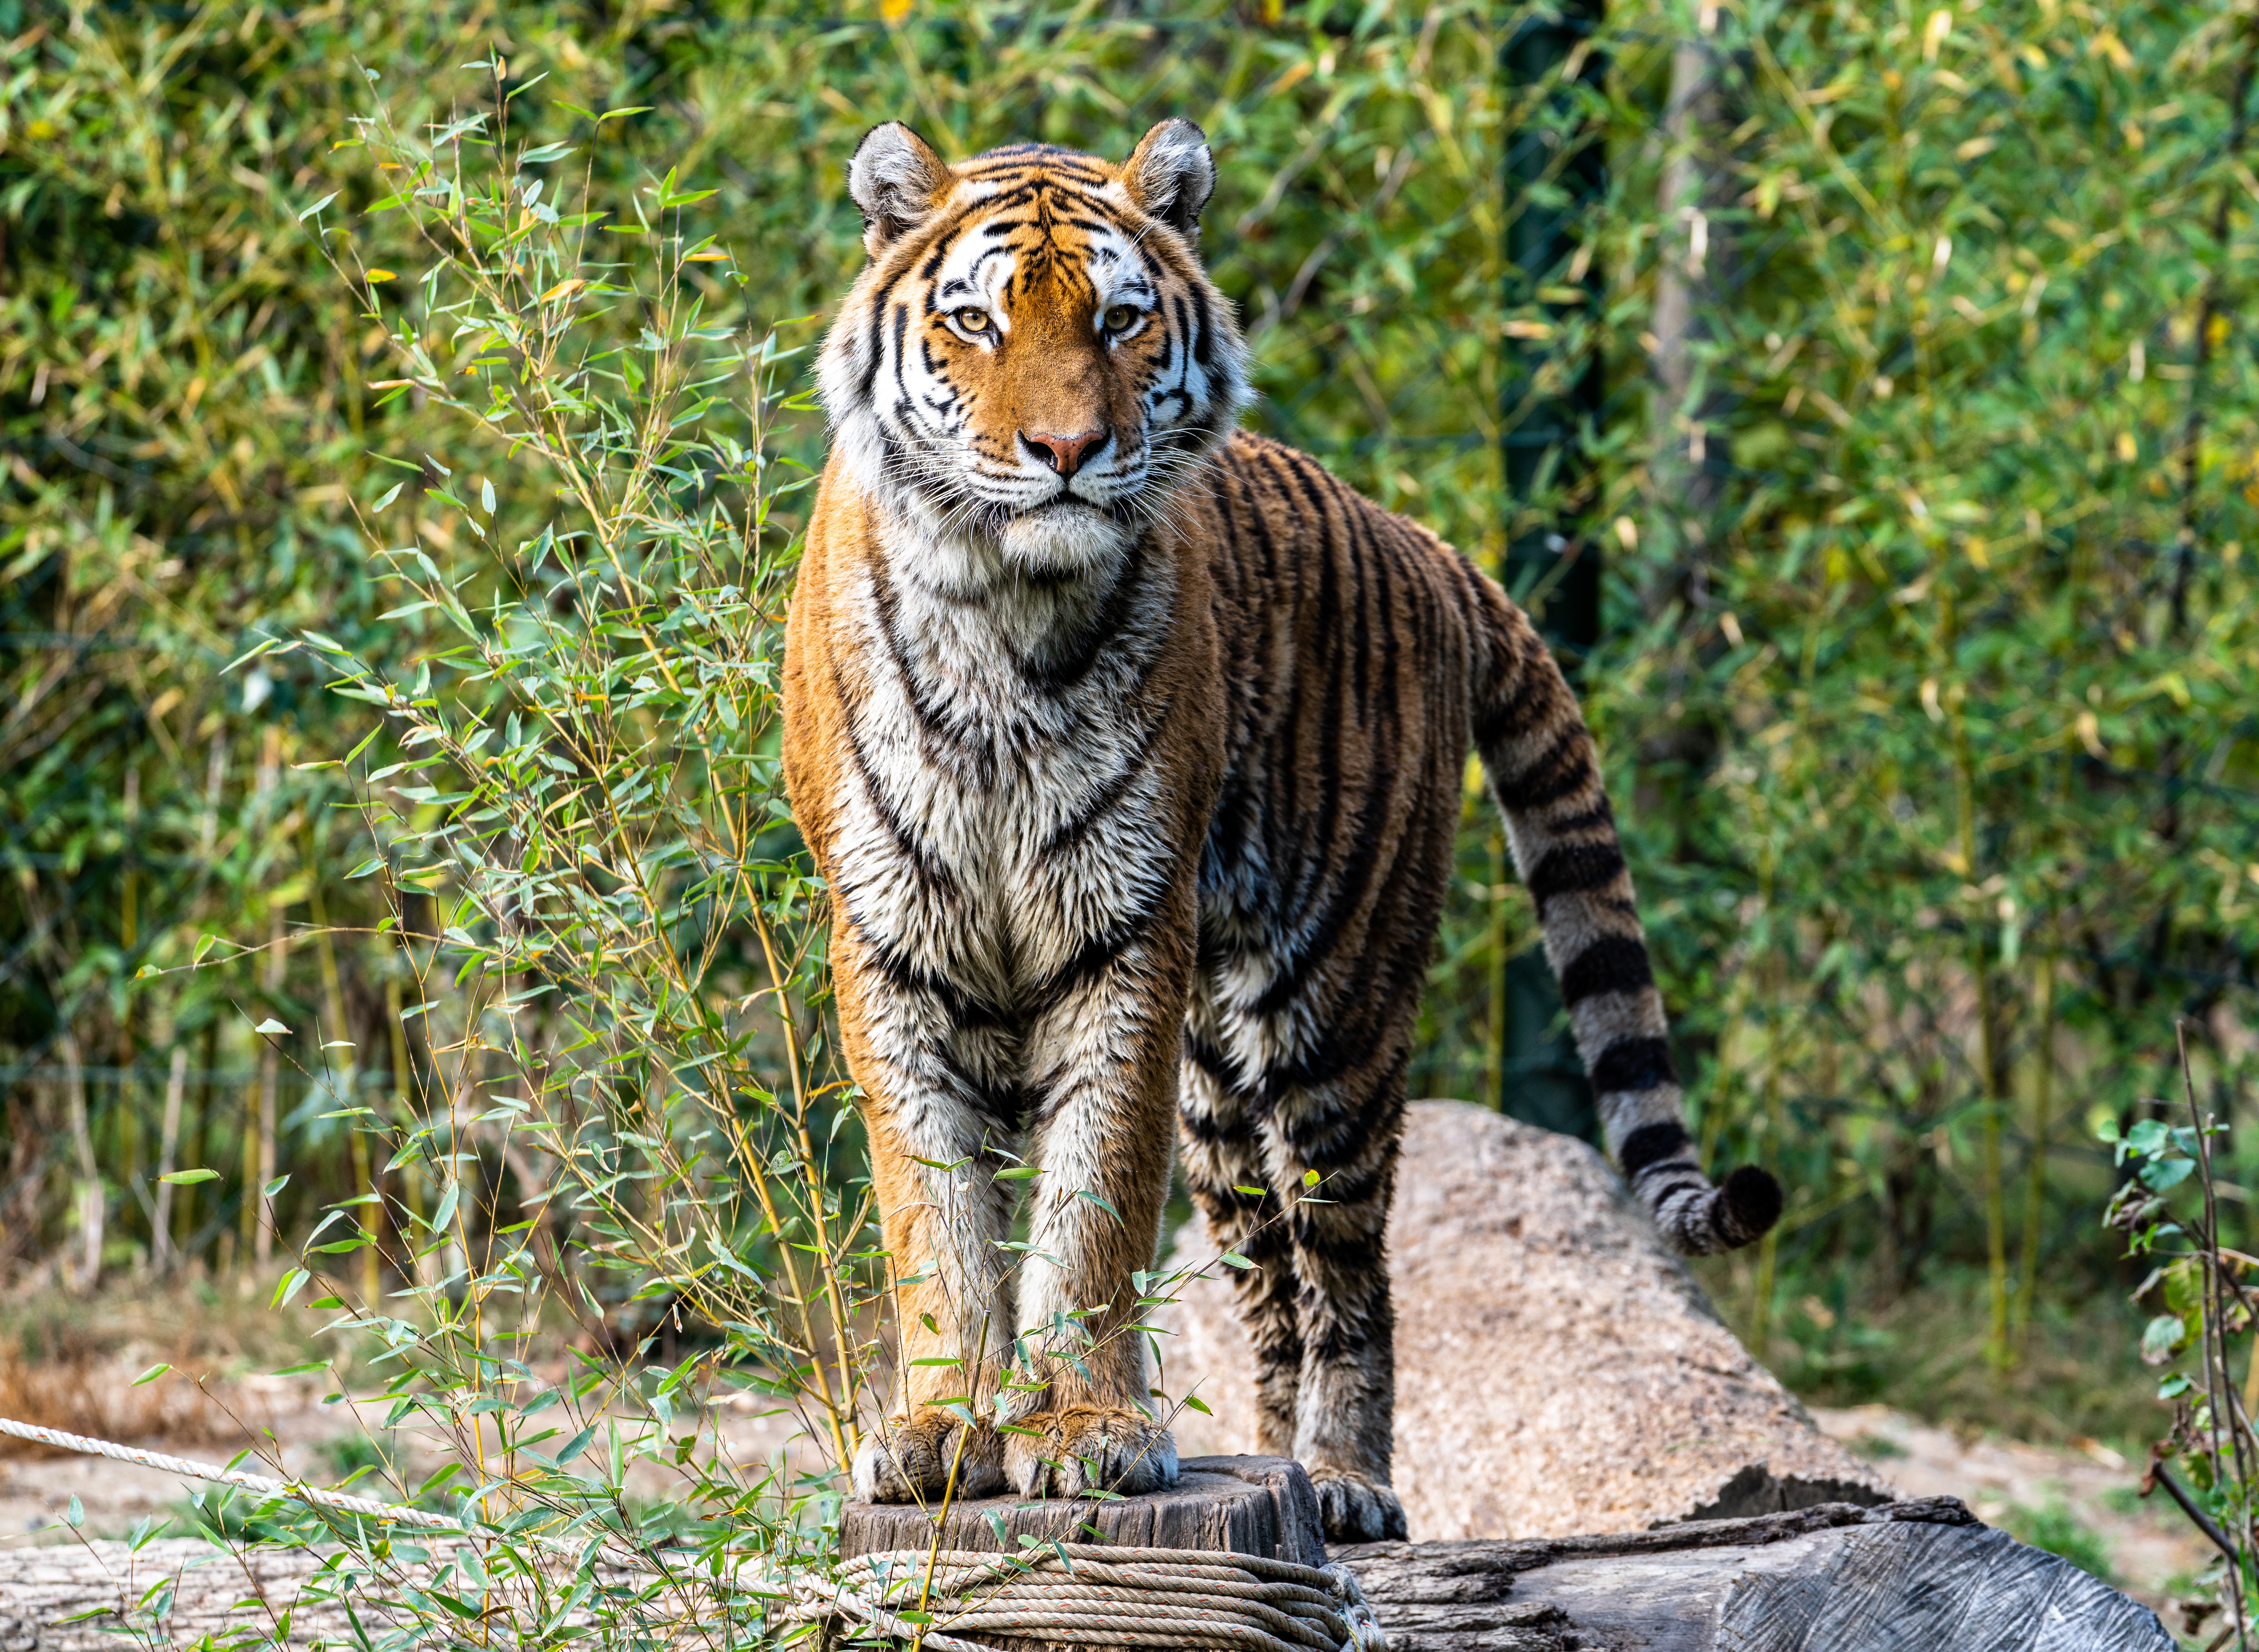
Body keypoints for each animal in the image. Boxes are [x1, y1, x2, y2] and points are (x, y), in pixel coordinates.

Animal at [777, 120, 1780, 1555]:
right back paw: (1267, 1468)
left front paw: (1081, 1431)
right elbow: (937, 1211)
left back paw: (1347, 1482)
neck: (1005, 614)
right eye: (973, 322)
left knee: (1349, 1281)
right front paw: (937, 1430)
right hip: (1215, 1097)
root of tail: (1422, 541)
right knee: (1266, 1303)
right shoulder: (893, 938)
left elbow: (1090, 1202)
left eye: (1120, 319)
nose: (1066, 447)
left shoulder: (1125, 935)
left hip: (1333, 1010)